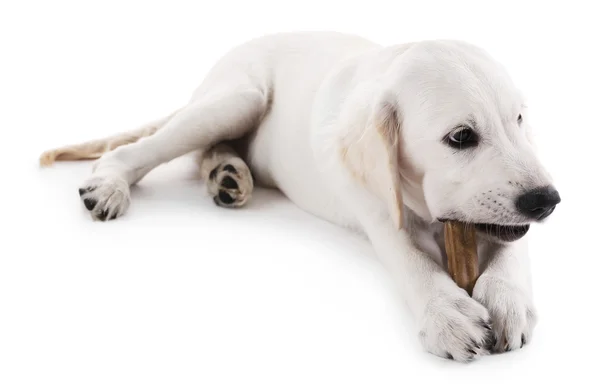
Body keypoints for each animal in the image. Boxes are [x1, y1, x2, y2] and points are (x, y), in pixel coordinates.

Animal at [39, 31, 560, 362]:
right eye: (461, 137)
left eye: (518, 119)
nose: (548, 200)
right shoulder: (376, 207)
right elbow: (411, 260)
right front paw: (447, 314)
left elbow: (512, 251)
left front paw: (508, 299)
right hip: (237, 98)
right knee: (138, 149)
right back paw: (110, 184)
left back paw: (228, 175)